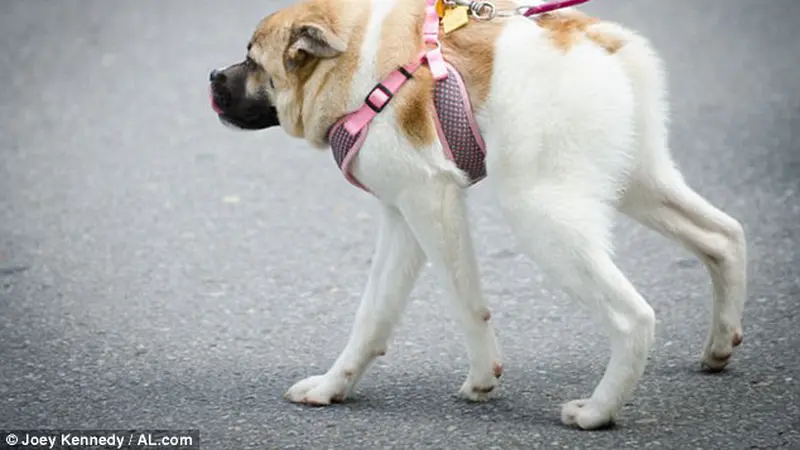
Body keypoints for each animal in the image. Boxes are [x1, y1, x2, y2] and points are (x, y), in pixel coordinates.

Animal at [209, 0, 748, 428]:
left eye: (252, 61)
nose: (212, 77)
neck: (360, 62)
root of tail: (592, 37)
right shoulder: (401, 216)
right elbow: (374, 314)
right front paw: (332, 387)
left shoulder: (432, 202)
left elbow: (464, 301)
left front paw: (484, 375)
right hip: (642, 183)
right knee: (724, 237)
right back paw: (720, 345)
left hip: (539, 211)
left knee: (633, 317)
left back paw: (597, 411)